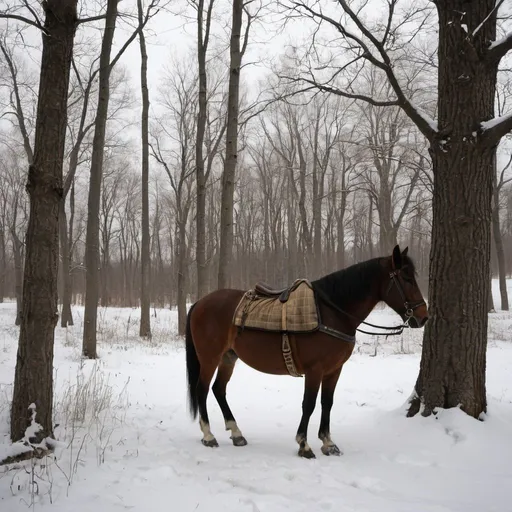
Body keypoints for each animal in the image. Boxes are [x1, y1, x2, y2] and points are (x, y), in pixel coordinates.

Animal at [184, 246, 428, 458]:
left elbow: (327, 403)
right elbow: (308, 404)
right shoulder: (315, 370)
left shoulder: (334, 370)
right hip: (210, 358)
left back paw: (236, 433)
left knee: (219, 390)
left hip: (228, 358)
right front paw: (304, 444)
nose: (423, 317)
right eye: (406, 278)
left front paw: (328, 443)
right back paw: (208, 435)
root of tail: (199, 303)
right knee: (202, 390)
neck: (330, 312)